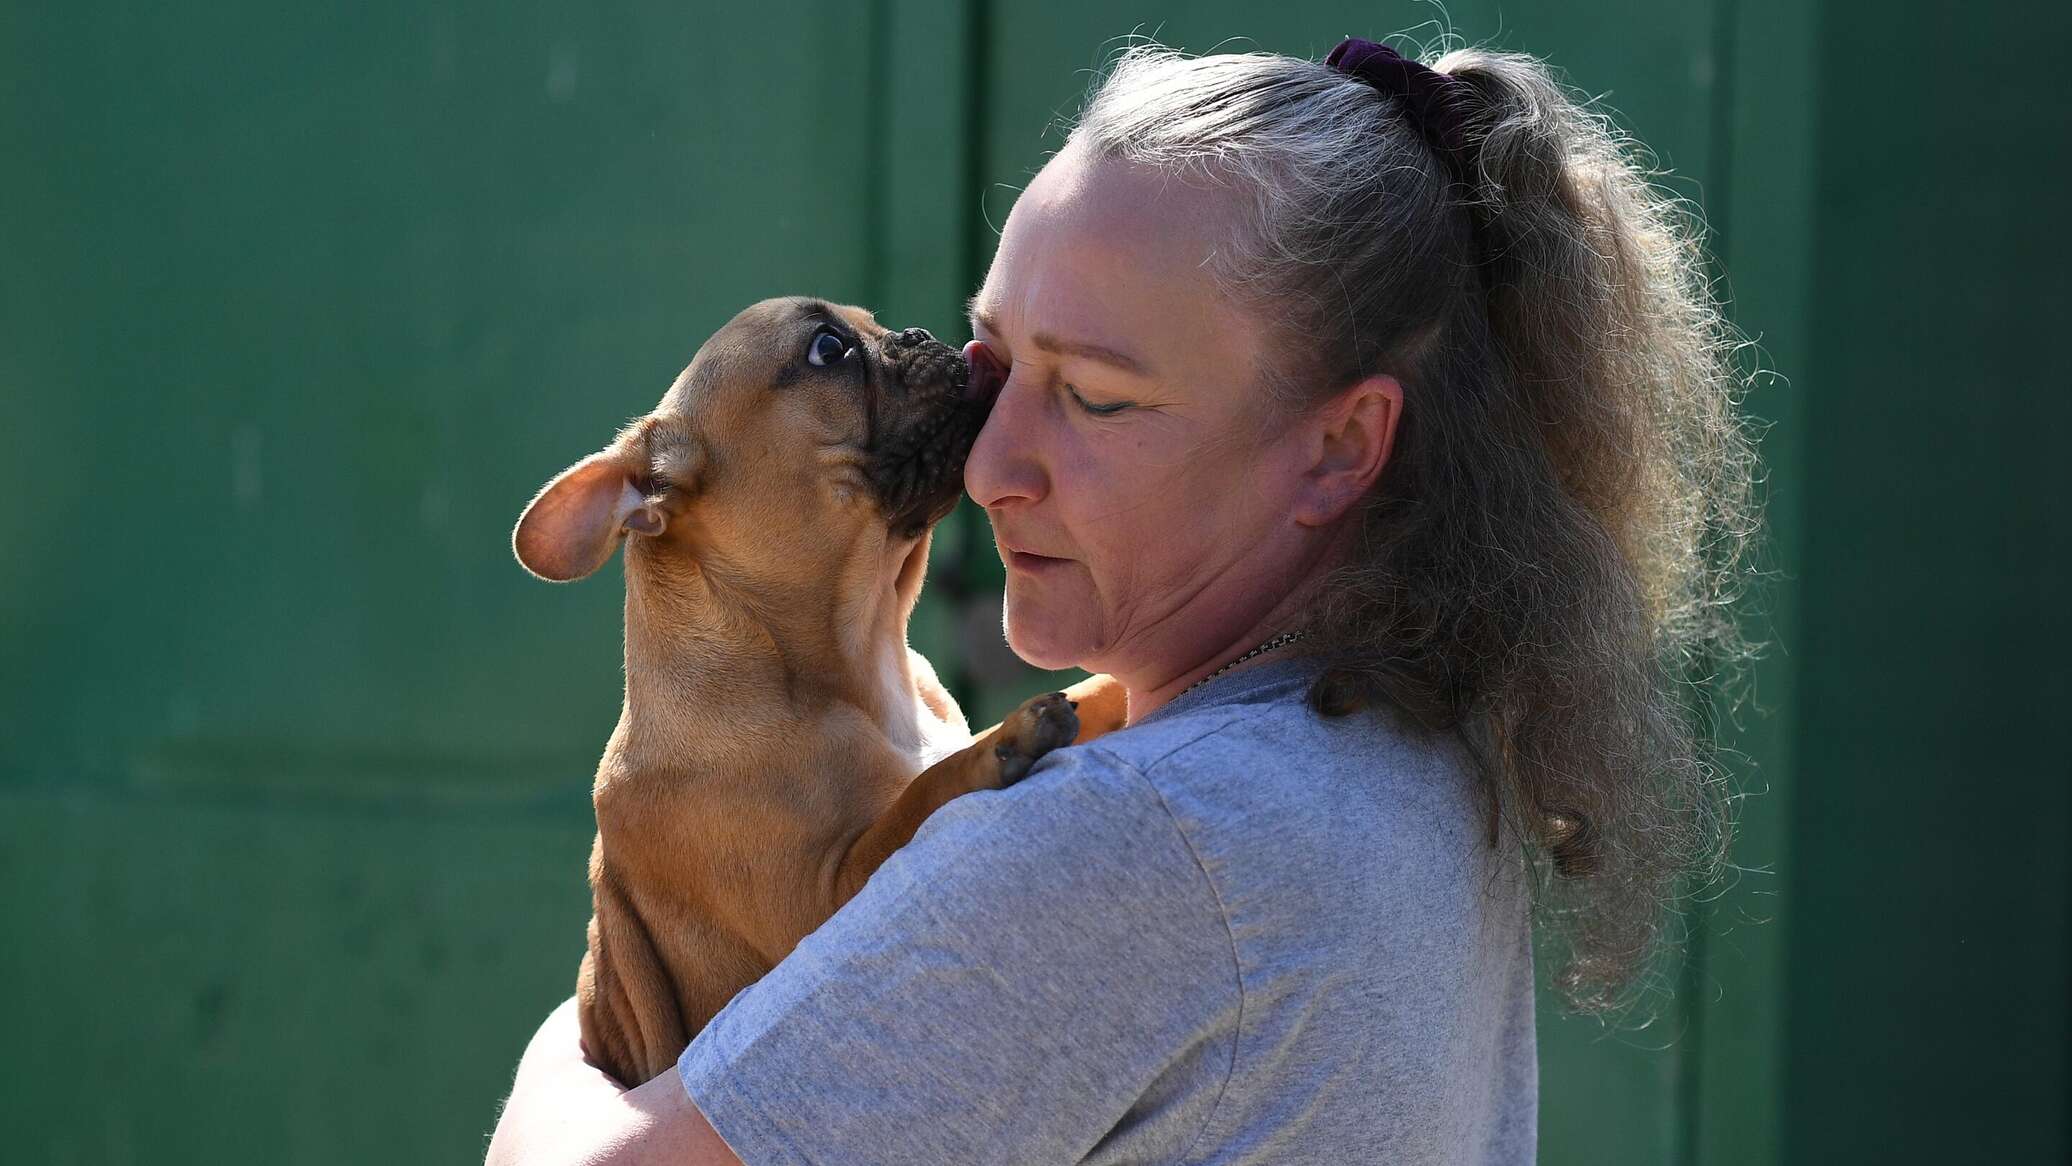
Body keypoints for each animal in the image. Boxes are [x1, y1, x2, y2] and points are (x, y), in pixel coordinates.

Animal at [518, 298, 1135, 1085]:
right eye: (827, 349)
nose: (919, 333)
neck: (862, 657)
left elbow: (1094, 689)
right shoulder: (820, 906)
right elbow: (915, 801)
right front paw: (1005, 741)